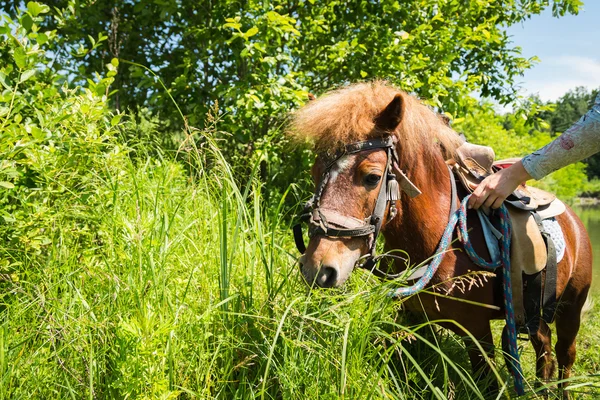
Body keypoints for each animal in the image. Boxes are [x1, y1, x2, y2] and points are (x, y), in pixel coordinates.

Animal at [292, 81, 596, 396]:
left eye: (372, 177)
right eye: (315, 172)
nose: (318, 268)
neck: (441, 242)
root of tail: (574, 220)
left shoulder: (477, 331)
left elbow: (487, 383)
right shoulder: (412, 320)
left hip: (571, 311)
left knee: (565, 356)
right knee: (545, 351)